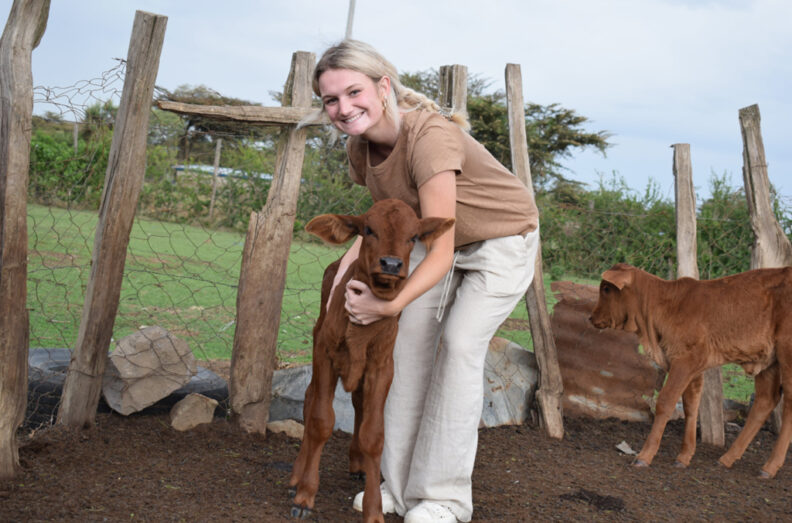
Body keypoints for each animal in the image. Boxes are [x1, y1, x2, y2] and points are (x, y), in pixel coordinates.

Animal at [288, 199, 454, 522]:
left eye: (413, 236)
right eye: (368, 229)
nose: (391, 264)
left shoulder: (382, 366)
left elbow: (374, 434)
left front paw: (374, 508)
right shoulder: (325, 354)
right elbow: (320, 420)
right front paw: (305, 494)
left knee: (359, 407)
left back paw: (357, 464)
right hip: (318, 345)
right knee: (310, 398)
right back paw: (297, 473)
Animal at [589, 263, 792, 478]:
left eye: (606, 289)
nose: (591, 317)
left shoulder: (685, 361)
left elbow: (665, 403)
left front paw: (644, 456)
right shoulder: (694, 367)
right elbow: (691, 406)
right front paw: (684, 457)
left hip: (787, 352)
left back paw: (769, 467)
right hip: (768, 361)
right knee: (766, 400)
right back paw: (727, 458)